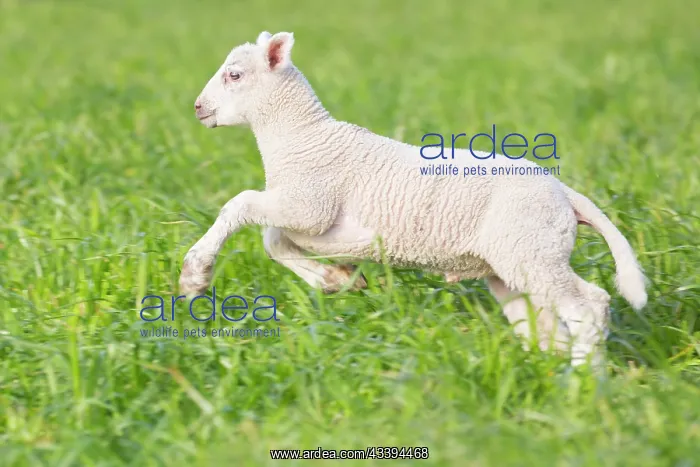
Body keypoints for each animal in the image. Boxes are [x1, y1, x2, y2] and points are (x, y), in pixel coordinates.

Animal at [179, 31, 648, 366]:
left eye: (234, 75)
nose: (198, 108)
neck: (302, 137)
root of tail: (565, 192)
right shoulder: (311, 217)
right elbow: (273, 241)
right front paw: (336, 279)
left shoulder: (310, 204)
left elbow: (241, 205)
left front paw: (194, 276)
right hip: (515, 263)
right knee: (545, 326)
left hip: (533, 249)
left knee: (591, 305)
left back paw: (583, 385)